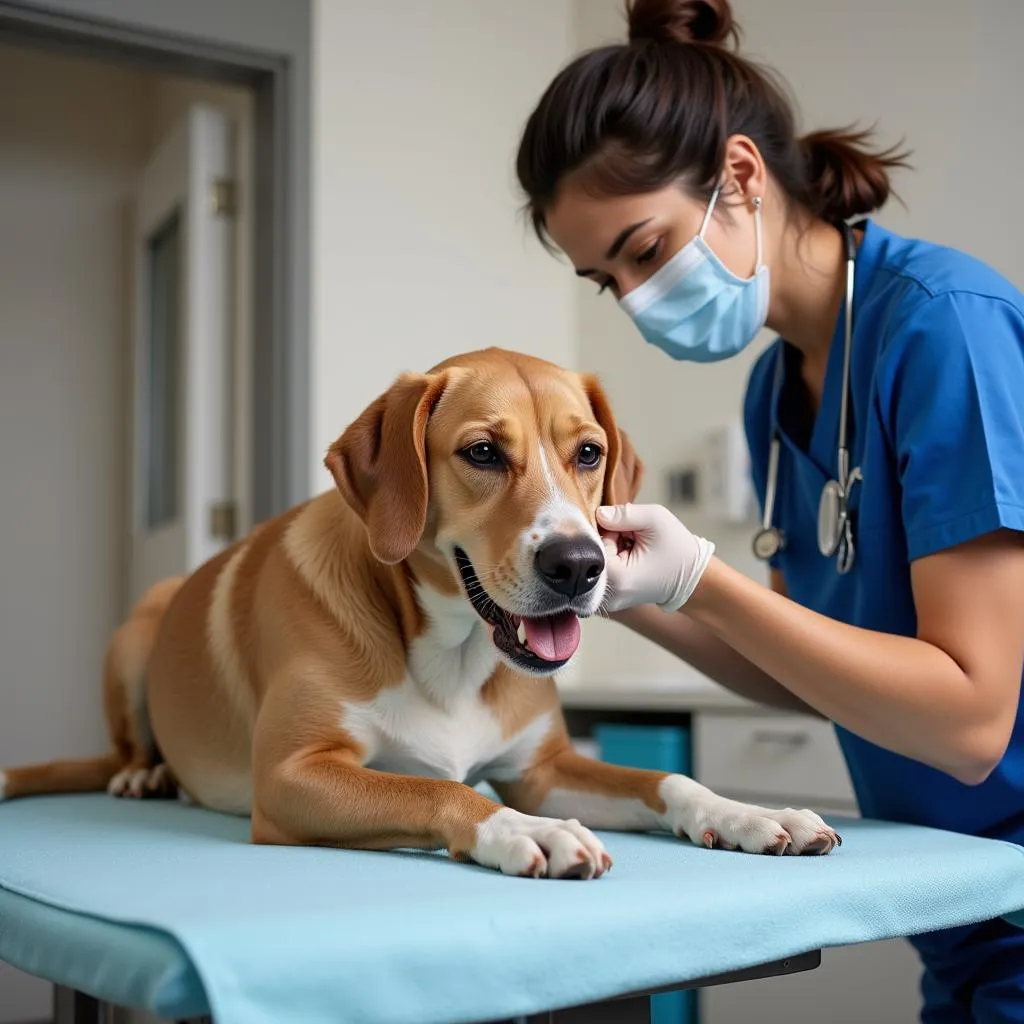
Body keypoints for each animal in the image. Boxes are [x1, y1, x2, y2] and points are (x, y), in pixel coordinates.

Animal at [0, 348, 839, 876]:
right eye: (482, 453)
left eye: (589, 453)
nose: (578, 565)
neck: (455, 655)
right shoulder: (293, 776)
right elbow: (441, 788)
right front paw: (523, 831)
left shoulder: (542, 770)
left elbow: (665, 780)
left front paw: (749, 813)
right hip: (138, 629)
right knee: (124, 748)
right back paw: (143, 775)